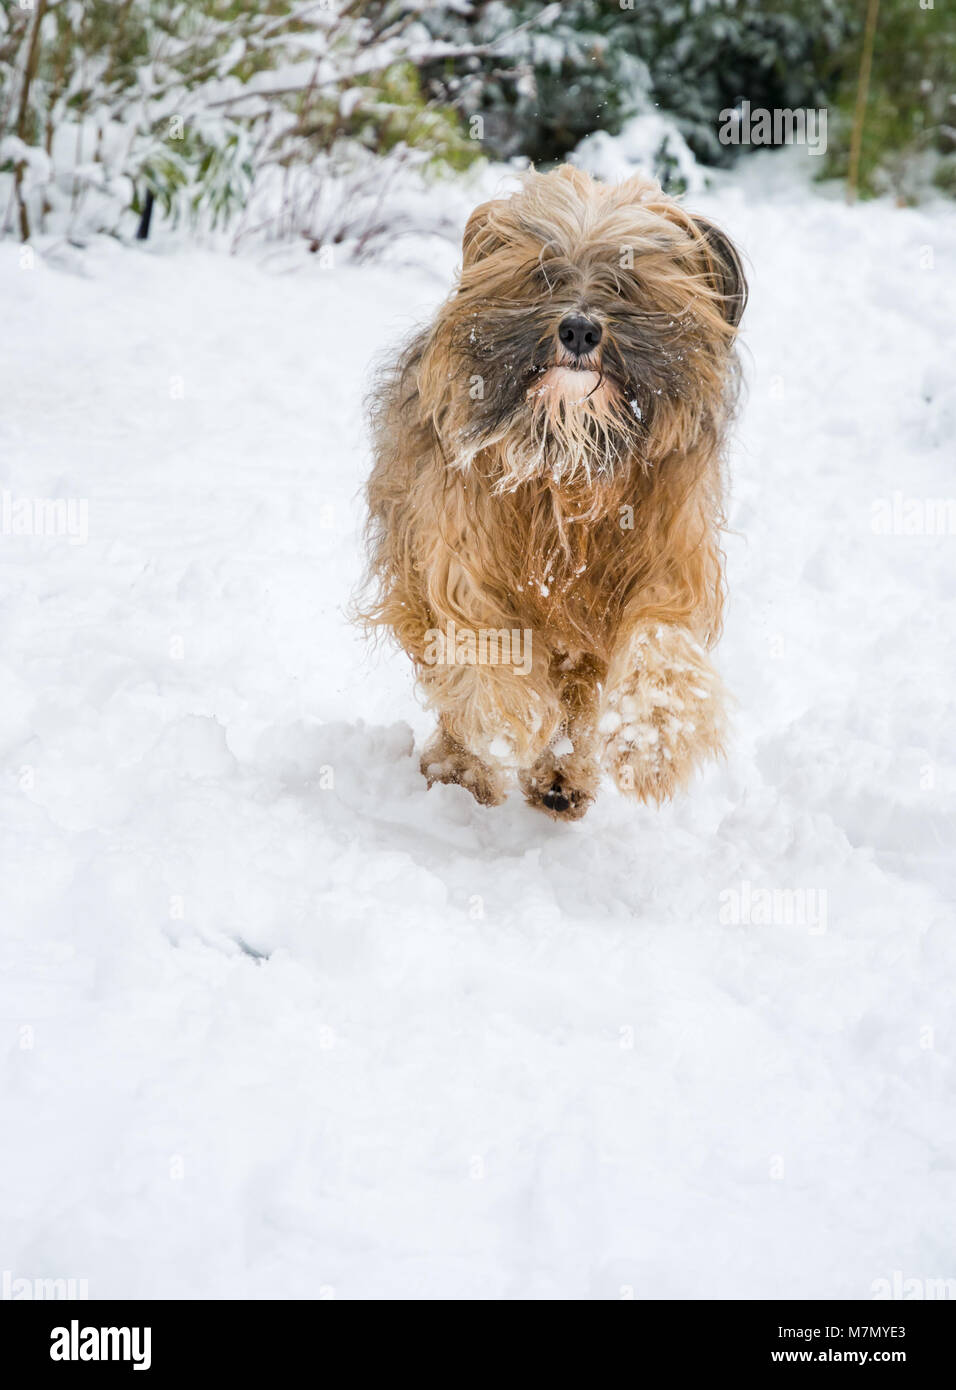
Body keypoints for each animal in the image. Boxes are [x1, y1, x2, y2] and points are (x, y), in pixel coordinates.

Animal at [361, 164, 744, 817]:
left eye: (625, 281)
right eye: (545, 274)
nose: (579, 329)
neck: (569, 461)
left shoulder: (669, 557)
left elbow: (661, 640)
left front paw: (650, 741)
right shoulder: (458, 552)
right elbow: (481, 633)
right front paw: (506, 719)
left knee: (577, 696)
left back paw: (563, 777)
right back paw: (464, 767)